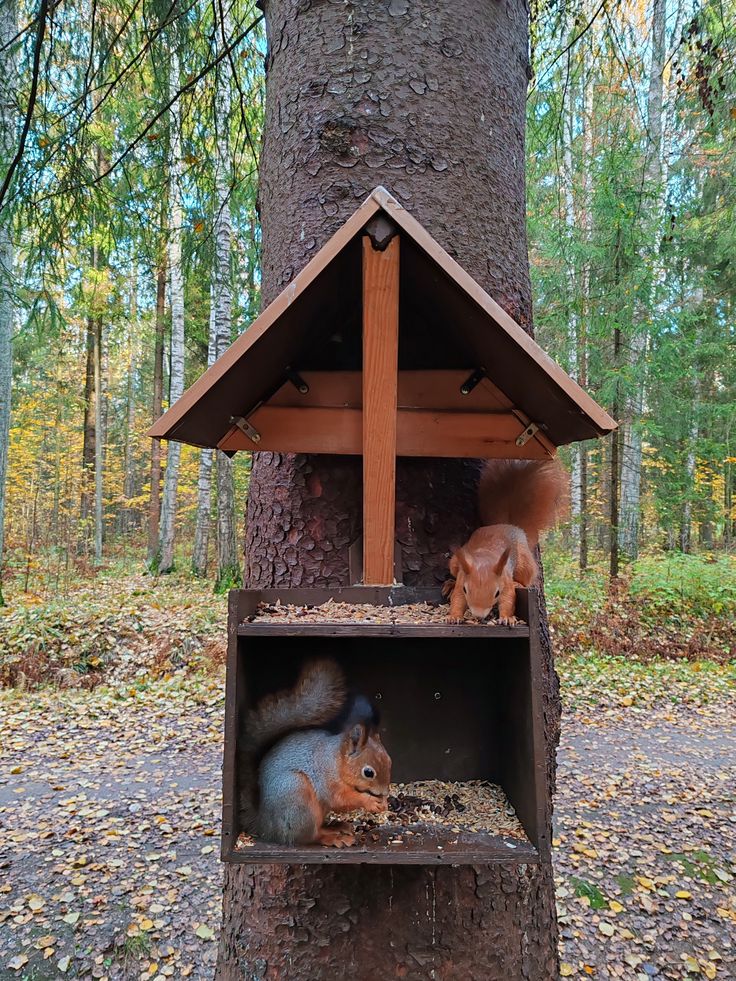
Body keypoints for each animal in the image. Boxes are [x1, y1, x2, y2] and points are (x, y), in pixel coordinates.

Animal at [243, 659, 391, 847]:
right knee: (309, 837)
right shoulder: (327, 780)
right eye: (368, 772)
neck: (335, 761)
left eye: (389, 761)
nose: (385, 793)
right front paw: (370, 802)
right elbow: (341, 799)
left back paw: (336, 826)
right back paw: (334, 837)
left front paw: (384, 804)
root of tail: (266, 827)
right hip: (297, 795)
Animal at [444, 458, 568, 624]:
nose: (479, 616)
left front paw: (507, 618)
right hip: (455, 562)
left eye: (497, 592)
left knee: (527, 577)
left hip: (524, 562)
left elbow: (509, 598)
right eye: (466, 589)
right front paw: (453, 616)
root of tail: (509, 525)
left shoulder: (505, 578)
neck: (484, 559)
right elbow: (457, 598)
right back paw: (449, 585)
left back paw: (519, 583)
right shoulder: (462, 578)